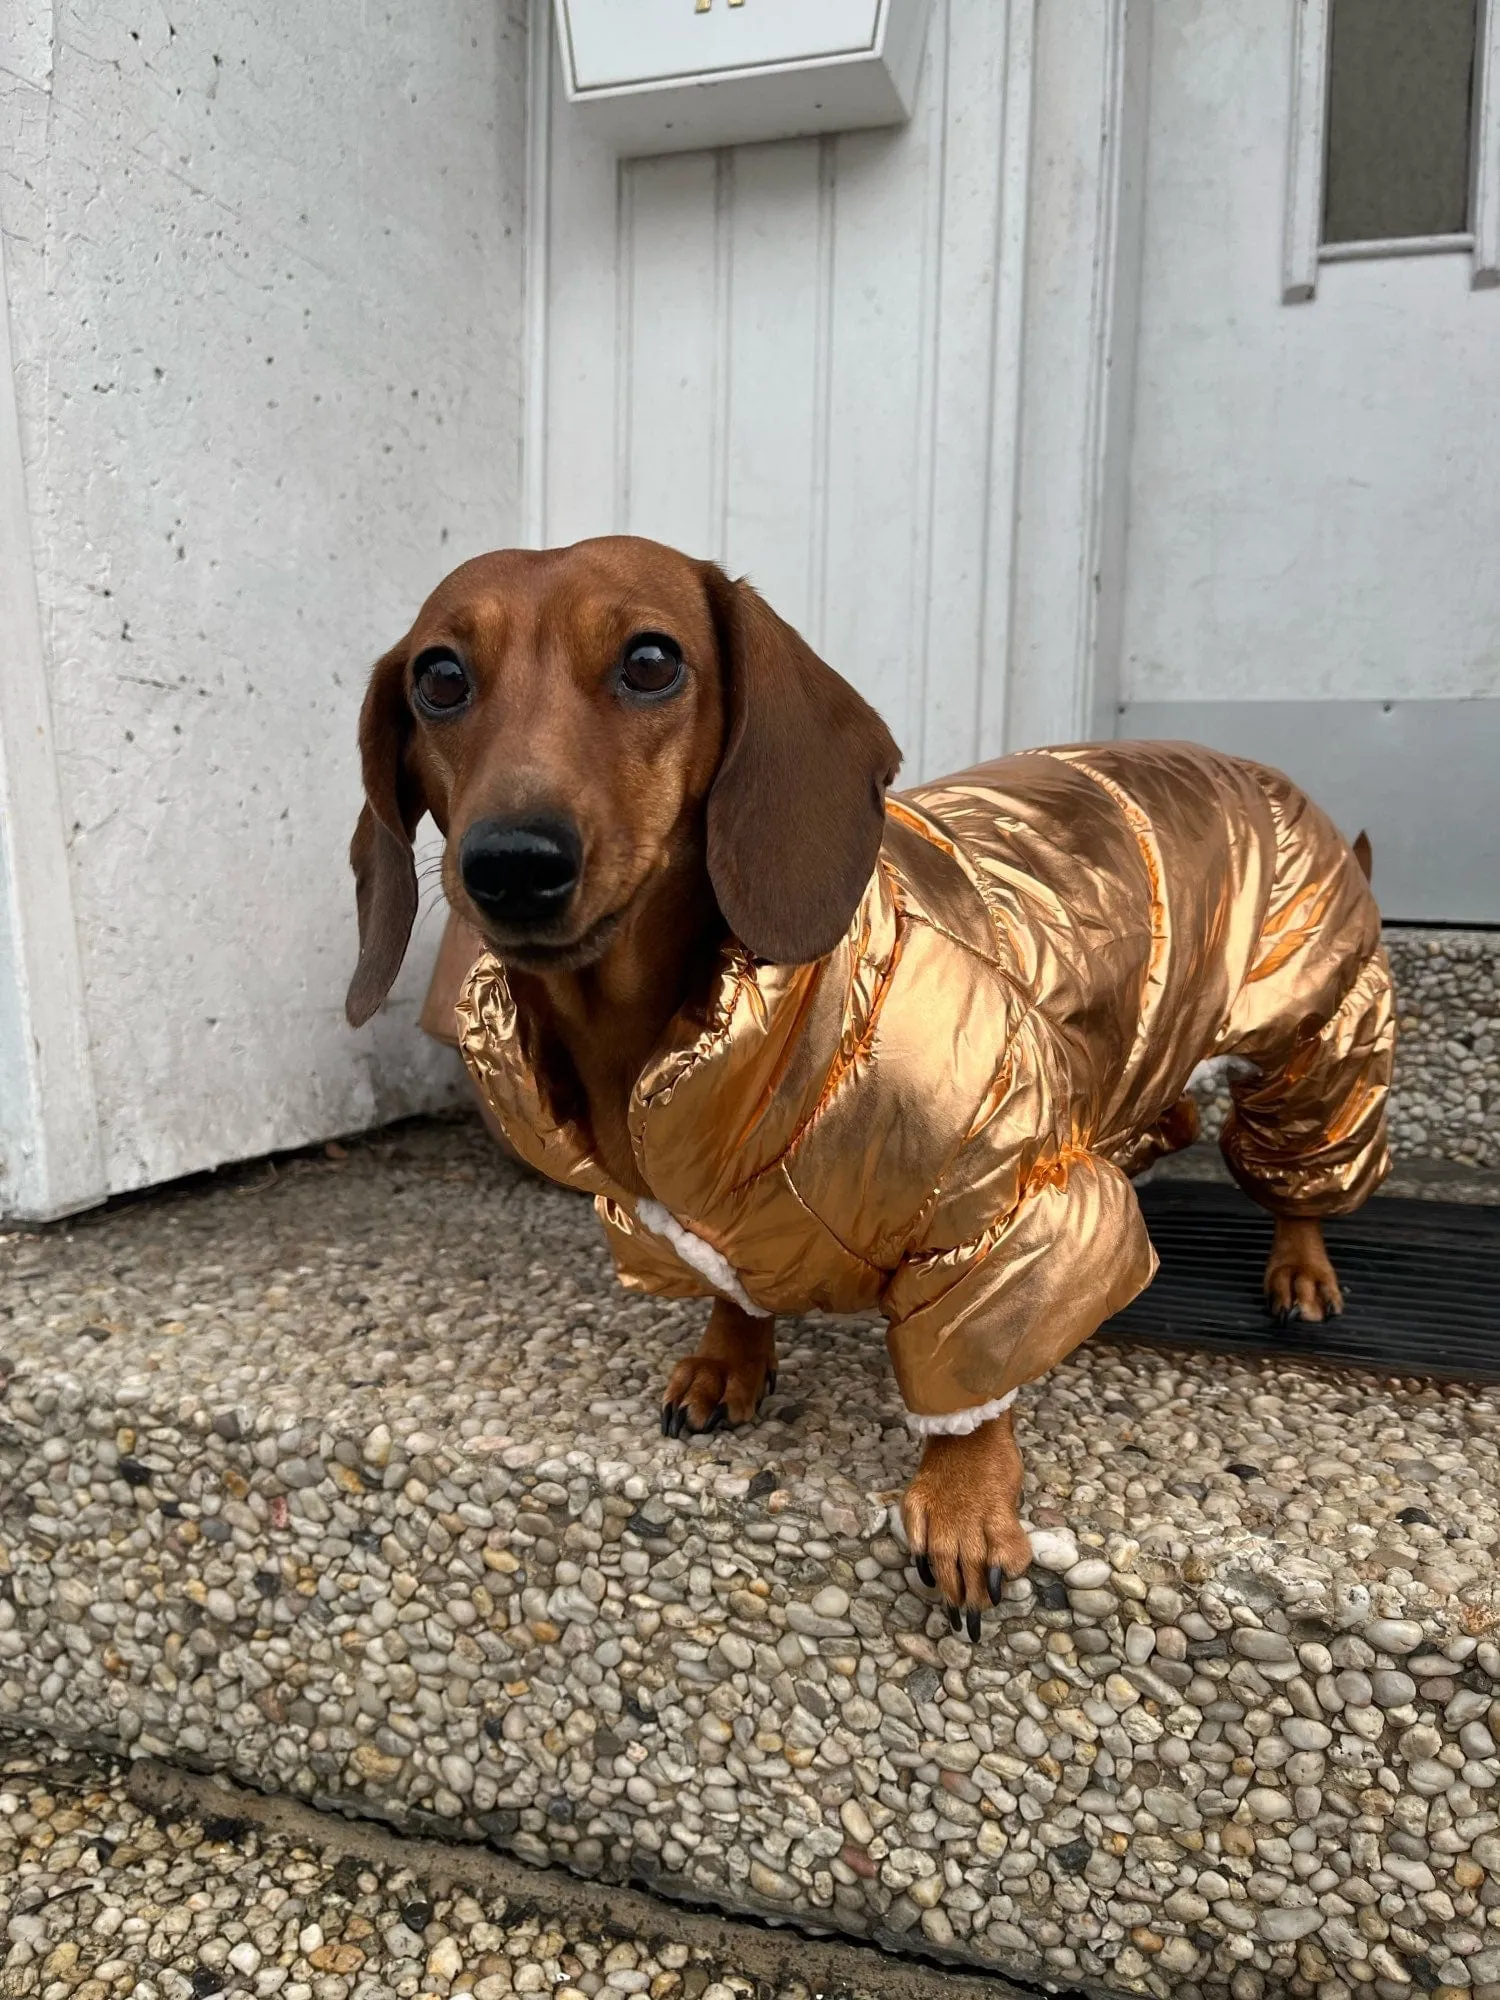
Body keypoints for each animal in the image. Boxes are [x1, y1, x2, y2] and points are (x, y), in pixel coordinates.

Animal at [350, 540, 1400, 1632]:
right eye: (438, 677)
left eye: (650, 659)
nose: (512, 864)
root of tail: (1257, 768)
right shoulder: (676, 1219)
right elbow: (733, 1290)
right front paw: (729, 1360)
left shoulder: (997, 1200)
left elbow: (971, 1374)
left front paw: (964, 1498)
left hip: (1318, 1035)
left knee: (1301, 1168)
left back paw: (1300, 1267)